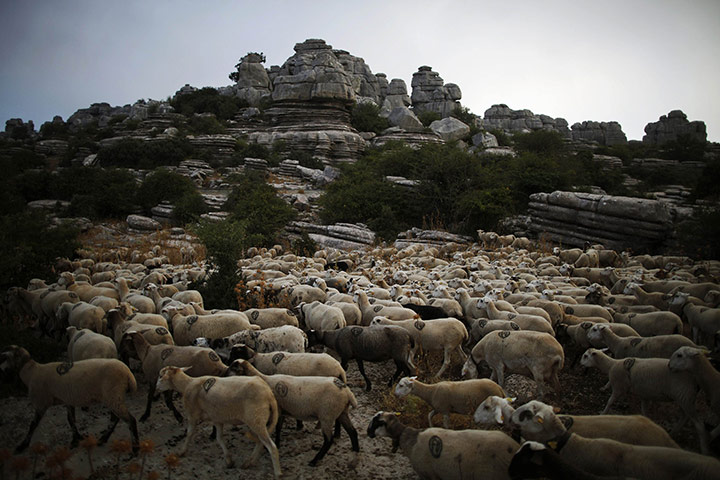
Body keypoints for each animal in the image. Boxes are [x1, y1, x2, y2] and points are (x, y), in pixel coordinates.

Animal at [0, 345, 139, 455]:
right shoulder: (67, 399)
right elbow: (71, 420)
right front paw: (76, 438)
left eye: (5, 357)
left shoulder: (41, 402)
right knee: (115, 418)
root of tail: (128, 373)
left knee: (130, 420)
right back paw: (103, 439)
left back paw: (135, 449)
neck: (31, 373)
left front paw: (22, 446)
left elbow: (32, 425)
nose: (1, 369)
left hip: (113, 395)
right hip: (112, 396)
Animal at [225, 359, 359, 466]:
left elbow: (275, 428)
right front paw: (276, 444)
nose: (223, 374)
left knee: (328, 440)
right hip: (341, 412)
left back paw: (315, 460)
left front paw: (272, 445)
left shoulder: (278, 410)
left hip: (327, 415)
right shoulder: (283, 411)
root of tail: (346, 391)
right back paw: (355, 454)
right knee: (353, 432)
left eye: (233, 367)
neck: (265, 380)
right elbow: (278, 428)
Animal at [579, 348, 709, 453]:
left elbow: (610, 402)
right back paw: (673, 432)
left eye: (585, 356)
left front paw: (603, 413)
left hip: (684, 396)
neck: (611, 365)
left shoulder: (618, 387)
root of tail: (696, 378)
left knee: (698, 424)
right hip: (684, 397)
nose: (580, 363)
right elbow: (644, 411)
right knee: (684, 416)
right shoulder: (644, 394)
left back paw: (704, 449)